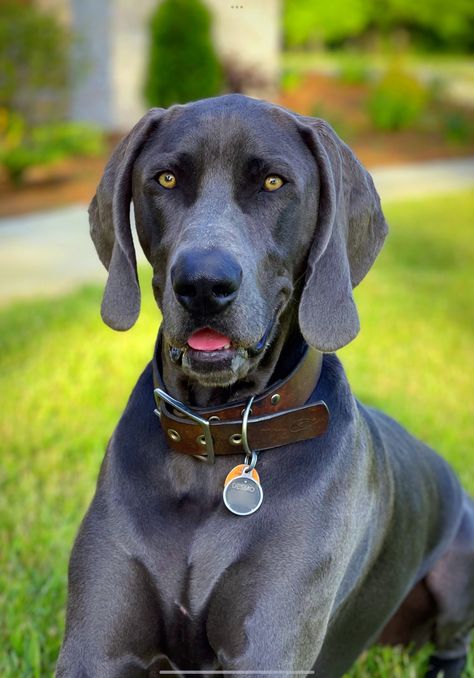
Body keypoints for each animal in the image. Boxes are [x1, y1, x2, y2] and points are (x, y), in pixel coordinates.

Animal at [56, 93, 474, 676]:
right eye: (165, 179)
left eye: (273, 183)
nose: (203, 284)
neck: (217, 437)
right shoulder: (94, 646)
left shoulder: (270, 646)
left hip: (462, 561)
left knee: (454, 643)